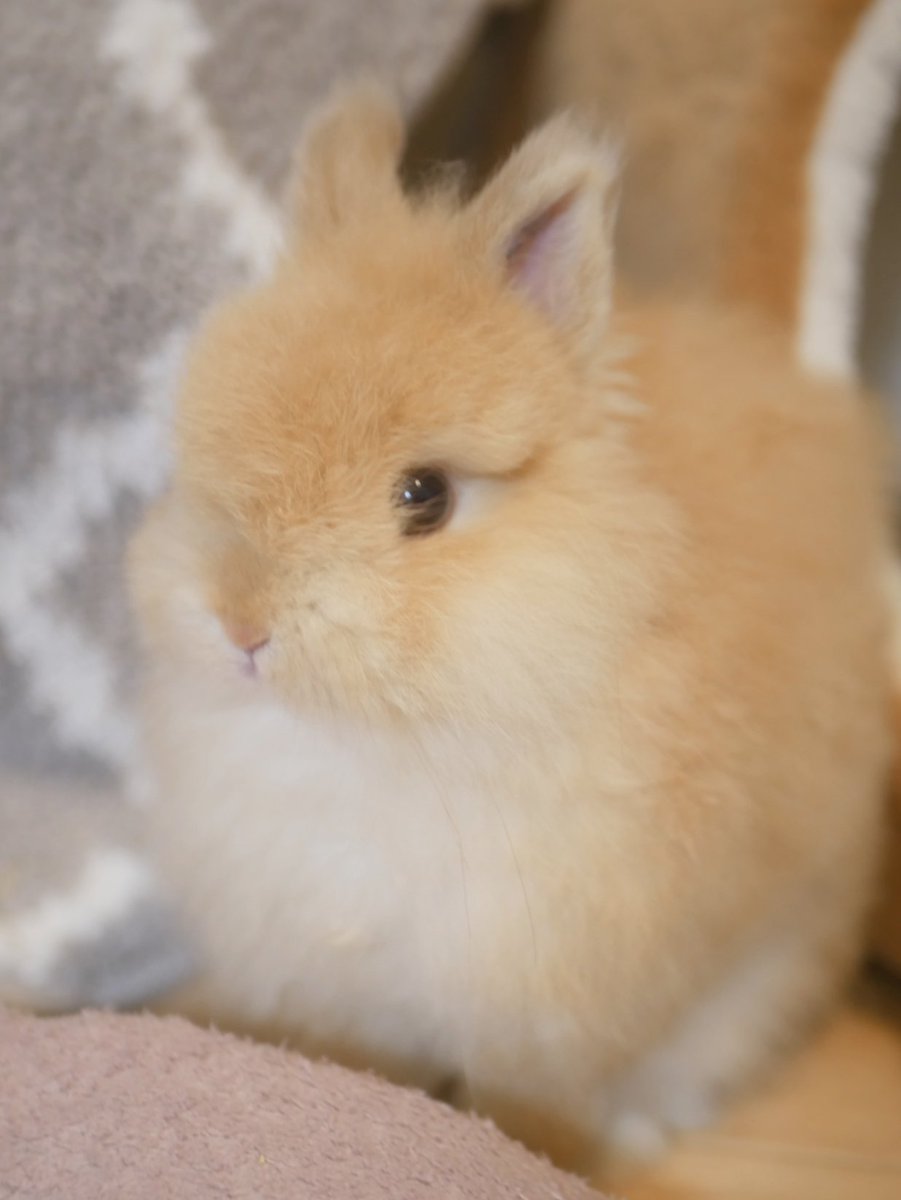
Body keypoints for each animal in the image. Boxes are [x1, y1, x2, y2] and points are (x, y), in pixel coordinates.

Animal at [128, 82, 895, 1177]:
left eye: (425, 497)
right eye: (195, 453)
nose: (241, 625)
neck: (374, 741)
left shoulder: (546, 1009)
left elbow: (525, 1112)